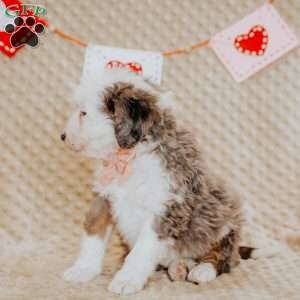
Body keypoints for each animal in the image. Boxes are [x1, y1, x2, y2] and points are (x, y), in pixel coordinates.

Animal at [61, 69, 251, 296]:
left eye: (83, 113)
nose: (62, 136)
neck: (130, 158)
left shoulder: (164, 211)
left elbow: (141, 252)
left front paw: (126, 279)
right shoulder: (104, 199)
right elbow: (93, 236)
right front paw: (83, 269)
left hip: (224, 216)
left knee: (225, 255)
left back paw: (203, 269)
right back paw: (179, 267)